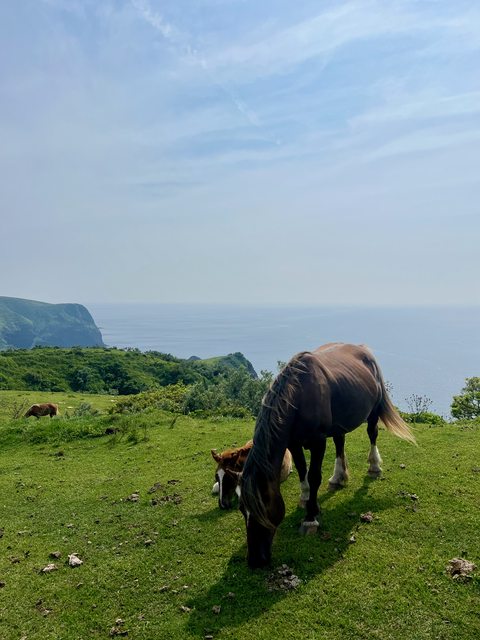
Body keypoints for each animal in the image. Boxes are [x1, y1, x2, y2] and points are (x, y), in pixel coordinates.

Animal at [239, 343, 416, 569]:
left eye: (264, 509)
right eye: (242, 509)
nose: (255, 560)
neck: (299, 396)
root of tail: (363, 349)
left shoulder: (318, 442)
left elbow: (314, 476)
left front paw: (310, 517)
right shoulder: (293, 443)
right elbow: (302, 471)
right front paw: (306, 498)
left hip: (373, 410)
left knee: (372, 433)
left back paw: (374, 467)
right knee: (340, 442)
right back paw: (337, 477)